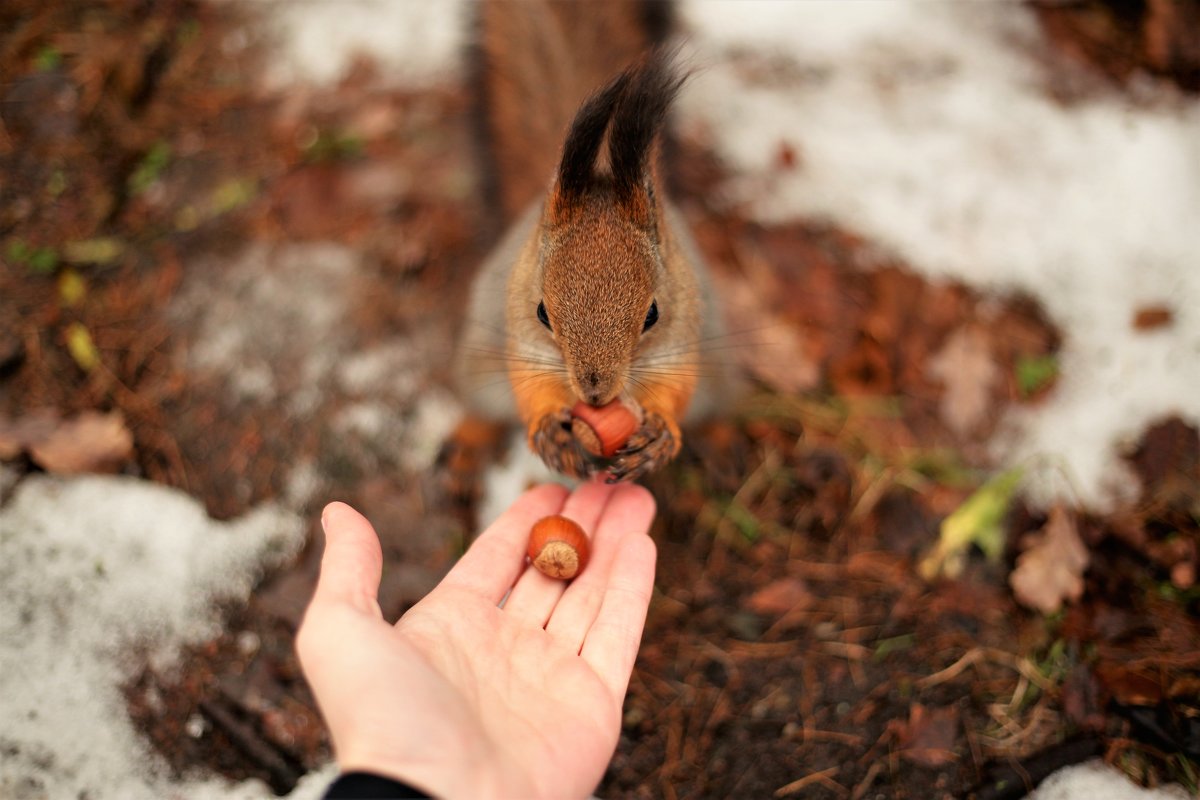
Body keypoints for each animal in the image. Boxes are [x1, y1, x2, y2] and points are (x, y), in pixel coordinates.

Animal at [451, 1, 729, 482]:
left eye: (653, 314)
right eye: (542, 312)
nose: (594, 393)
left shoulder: (681, 336)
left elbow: (675, 385)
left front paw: (659, 434)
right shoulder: (522, 339)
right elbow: (530, 384)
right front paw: (548, 429)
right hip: (477, 367)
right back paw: (466, 444)